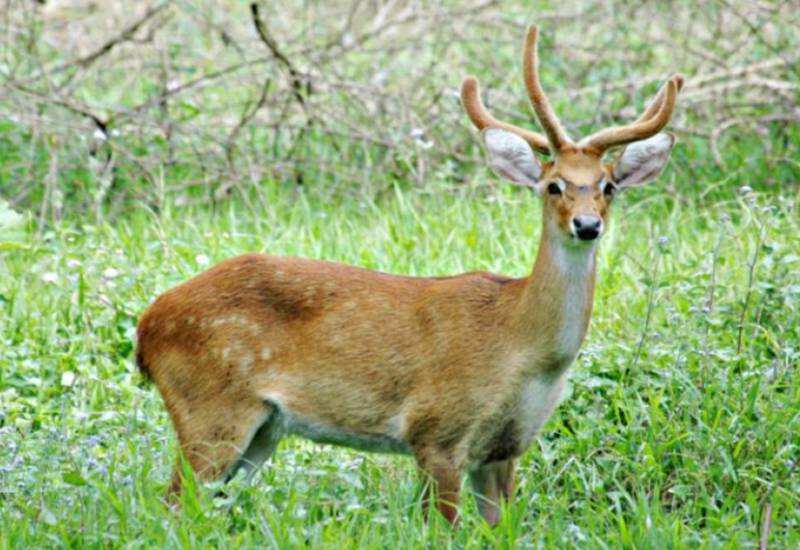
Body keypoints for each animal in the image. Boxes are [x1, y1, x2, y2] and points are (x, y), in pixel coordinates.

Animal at [135, 25, 683, 526]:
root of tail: (146, 328)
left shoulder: (504, 448)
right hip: (209, 408)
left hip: (263, 428)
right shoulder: (435, 428)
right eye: (554, 186)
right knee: (172, 508)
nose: (587, 225)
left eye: (608, 186)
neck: (524, 347)